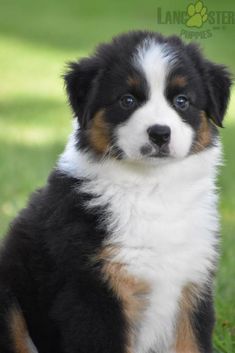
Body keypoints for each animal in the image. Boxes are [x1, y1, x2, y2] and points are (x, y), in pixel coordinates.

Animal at [0, 31, 231, 352]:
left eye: (182, 101)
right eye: (127, 100)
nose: (160, 133)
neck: (152, 189)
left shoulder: (192, 282)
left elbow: (192, 344)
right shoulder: (93, 291)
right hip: (8, 299)